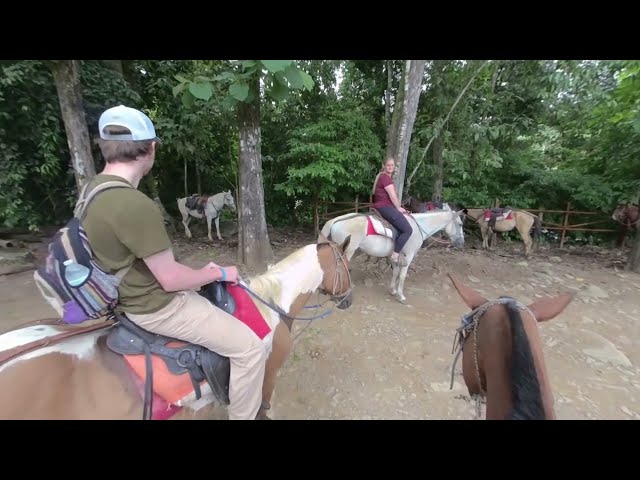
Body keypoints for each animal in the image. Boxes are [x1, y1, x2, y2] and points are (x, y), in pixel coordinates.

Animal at [320, 202, 464, 304]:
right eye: (461, 224)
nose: (461, 243)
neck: (418, 227)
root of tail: (335, 221)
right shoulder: (408, 256)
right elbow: (402, 275)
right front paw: (401, 295)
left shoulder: (395, 256)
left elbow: (395, 272)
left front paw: (393, 290)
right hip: (346, 251)